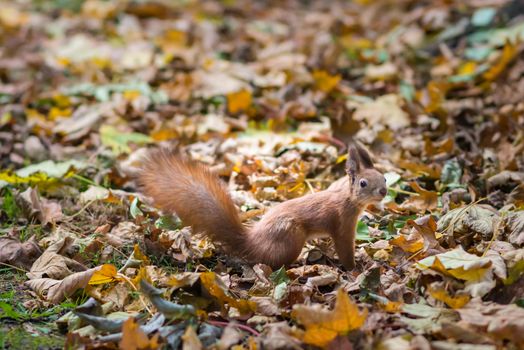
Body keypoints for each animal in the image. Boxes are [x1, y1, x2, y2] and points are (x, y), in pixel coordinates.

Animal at [137, 144, 386, 270]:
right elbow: (344, 248)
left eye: (384, 177)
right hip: (291, 236)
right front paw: (354, 268)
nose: (383, 192)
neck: (347, 197)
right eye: (363, 183)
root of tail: (253, 242)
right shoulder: (342, 223)